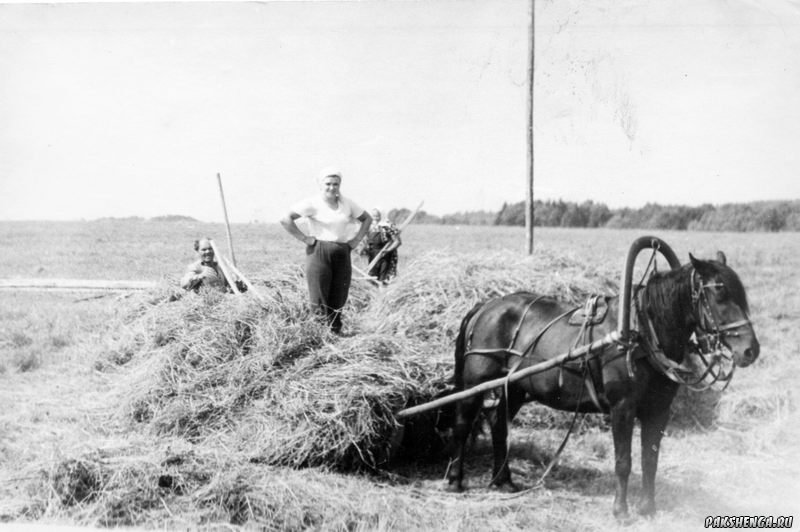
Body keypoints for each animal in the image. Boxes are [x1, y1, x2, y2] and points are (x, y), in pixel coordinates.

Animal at [446, 250, 760, 520]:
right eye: (719, 293)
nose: (750, 350)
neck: (642, 333)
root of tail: (486, 306)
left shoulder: (659, 410)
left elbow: (650, 459)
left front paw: (648, 508)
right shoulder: (622, 408)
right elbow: (624, 462)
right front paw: (621, 511)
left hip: (516, 388)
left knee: (499, 424)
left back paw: (503, 480)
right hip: (476, 382)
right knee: (463, 424)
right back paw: (455, 481)